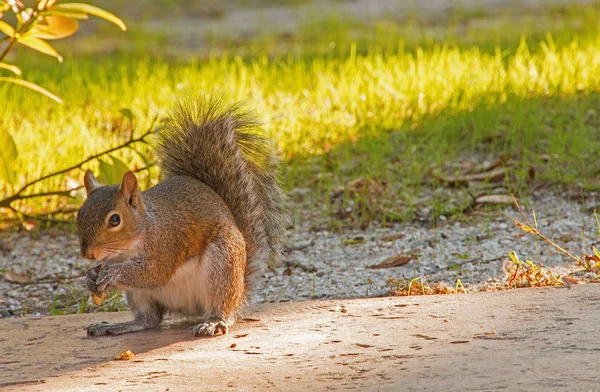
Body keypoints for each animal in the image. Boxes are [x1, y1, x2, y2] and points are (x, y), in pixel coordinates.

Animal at [77, 97, 286, 336]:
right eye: (79, 214)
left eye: (114, 219)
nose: (87, 254)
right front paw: (90, 277)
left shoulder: (167, 243)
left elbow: (154, 273)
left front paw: (112, 274)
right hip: (140, 295)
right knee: (148, 320)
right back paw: (117, 325)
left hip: (223, 266)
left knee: (222, 307)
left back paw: (214, 321)